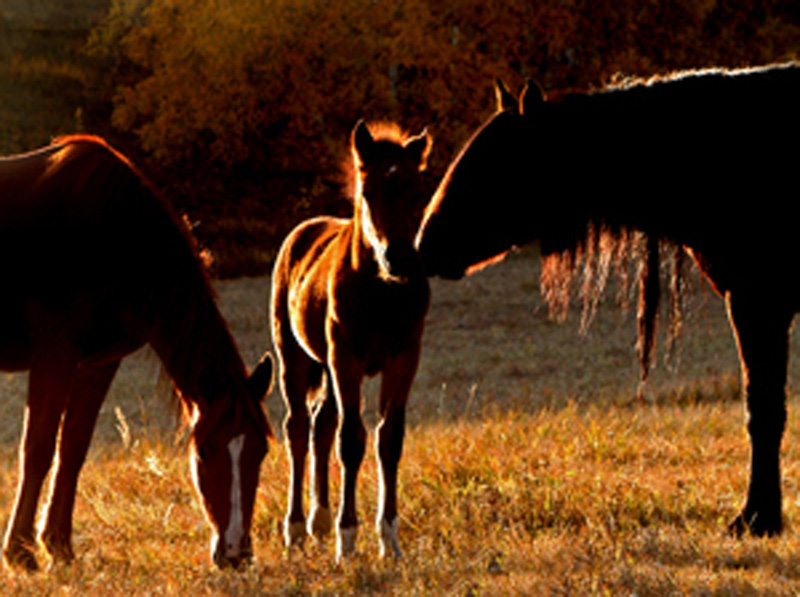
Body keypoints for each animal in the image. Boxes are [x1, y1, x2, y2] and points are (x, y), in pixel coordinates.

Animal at [0, 135, 274, 568]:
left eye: (261, 450)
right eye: (205, 451)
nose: (235, 553)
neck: (117, 239)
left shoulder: (98, 363)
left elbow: (73, 447)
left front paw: (59, 545)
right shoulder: (53, 355)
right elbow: (38, 449)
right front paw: (20, 552)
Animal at [268, 120, 432, 560]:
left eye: (417, 192)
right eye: (368, 192)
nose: (398, 258)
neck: (382, 291)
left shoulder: (404, 357)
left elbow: (389, 438)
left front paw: (389, 540)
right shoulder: (347, 358)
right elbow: (351, 439)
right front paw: (348, 539)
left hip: (326, 365)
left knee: (321, 424)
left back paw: (319, 520)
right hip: (295, 356)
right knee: (298, 427)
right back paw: (295, 528)